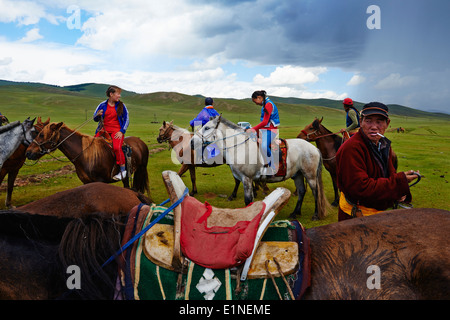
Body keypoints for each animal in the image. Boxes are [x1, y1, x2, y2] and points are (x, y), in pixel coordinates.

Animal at [192, 115, 328, 220]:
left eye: (207, 127)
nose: (192, 142)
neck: (240, 147)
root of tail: (314, 148)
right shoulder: (247, 179)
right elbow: (251, 200)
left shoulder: (247, 179)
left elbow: (248, 201)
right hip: (298, 175)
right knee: (301, 192)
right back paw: (295, 213)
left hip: (310, 176)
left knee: (316, 193)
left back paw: (316, 215)